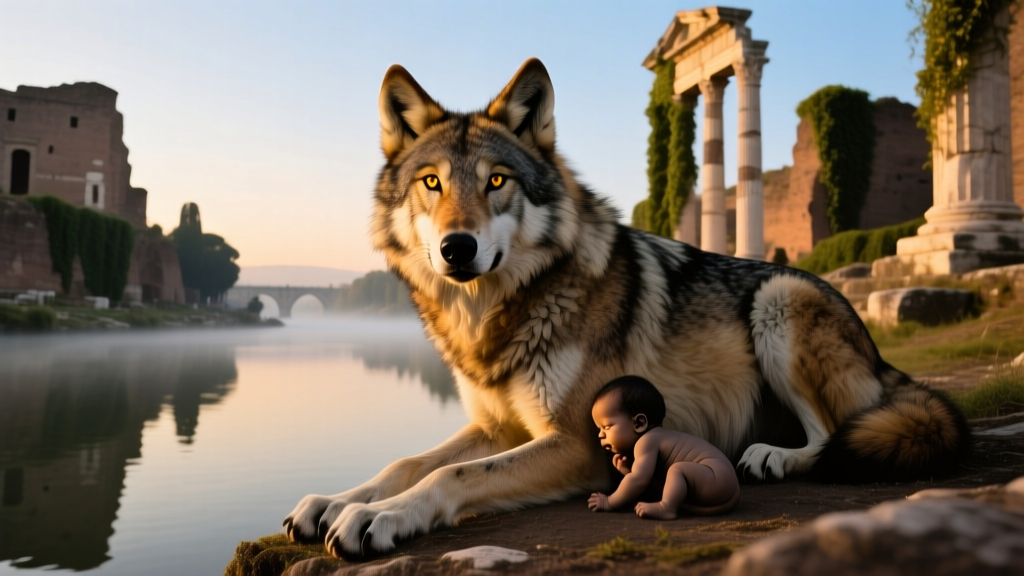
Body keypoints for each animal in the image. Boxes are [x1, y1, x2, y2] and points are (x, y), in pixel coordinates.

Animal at [284, 58, 970, 558]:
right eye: (432, 183)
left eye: (497, 180)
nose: (458, 247)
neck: (498, 312)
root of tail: (879, 357)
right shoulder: (497, 426)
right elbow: (408, 460)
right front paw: (336, 502)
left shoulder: (576, 443)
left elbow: (450, 477)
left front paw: (378, 517)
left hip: (778, 301)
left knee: (832, 435)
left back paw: (772, 457)